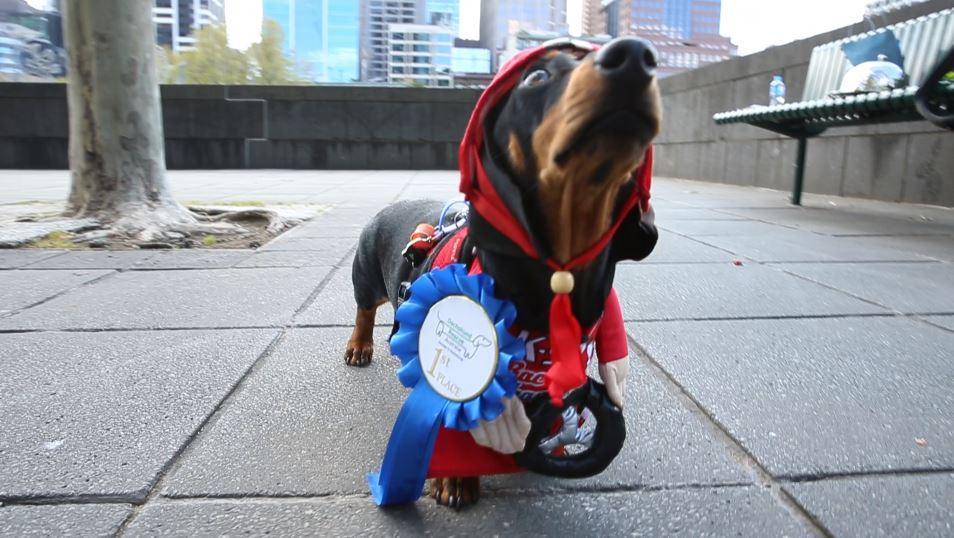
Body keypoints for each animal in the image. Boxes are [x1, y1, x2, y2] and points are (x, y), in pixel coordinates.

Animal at [346, 37, 660, 506]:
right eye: (537, 76)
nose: (637, 55)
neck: (557, 274)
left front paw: (554, 443)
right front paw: (456, 480)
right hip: (366, 277)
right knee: (364, 310)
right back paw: (359, 346)